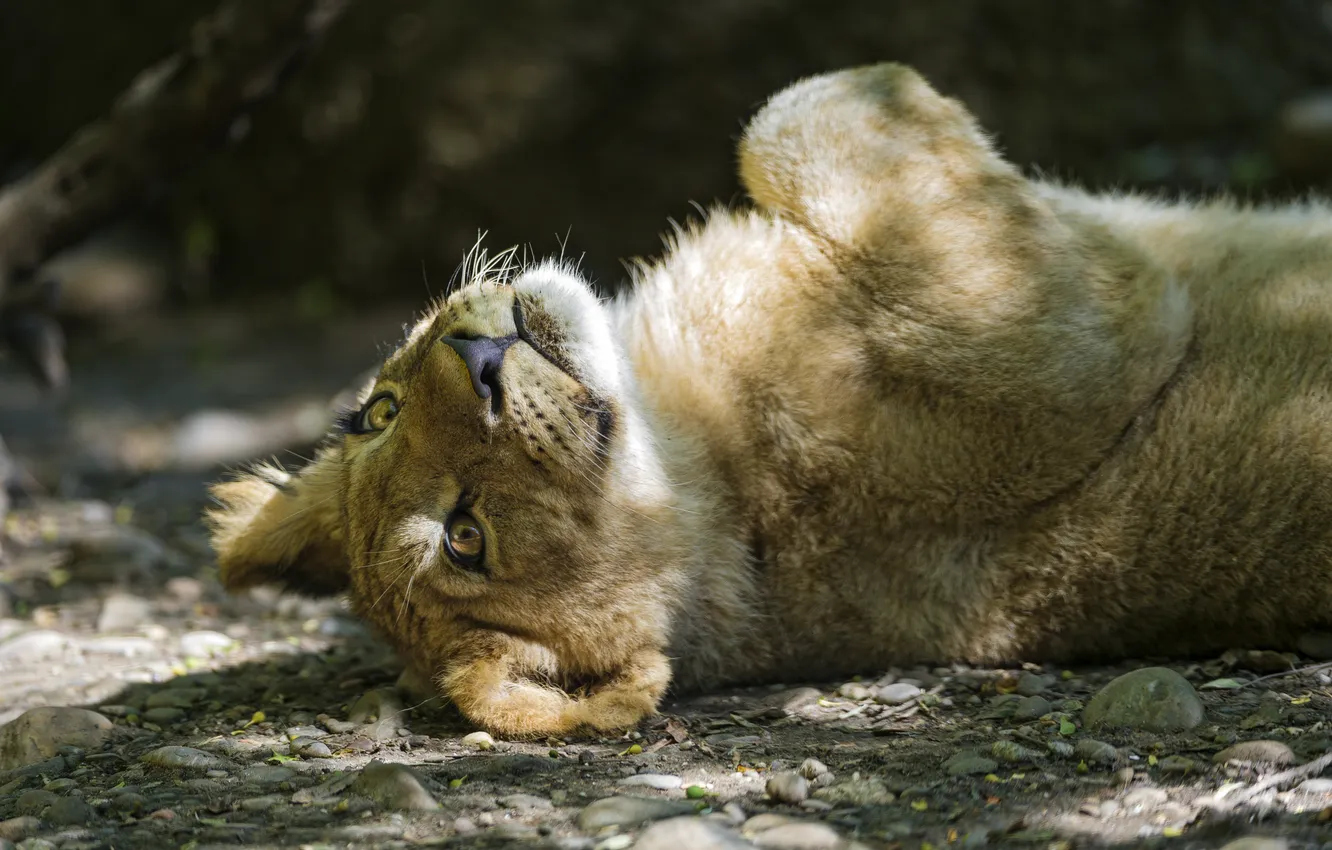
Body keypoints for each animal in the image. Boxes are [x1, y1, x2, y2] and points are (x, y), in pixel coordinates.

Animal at [206, 63, 1332, 738]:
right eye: (465, 538)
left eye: (375, 414)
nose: (478, 353)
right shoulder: (1065, 338)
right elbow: (791, 118)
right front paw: (890, 89)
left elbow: (775, 124)